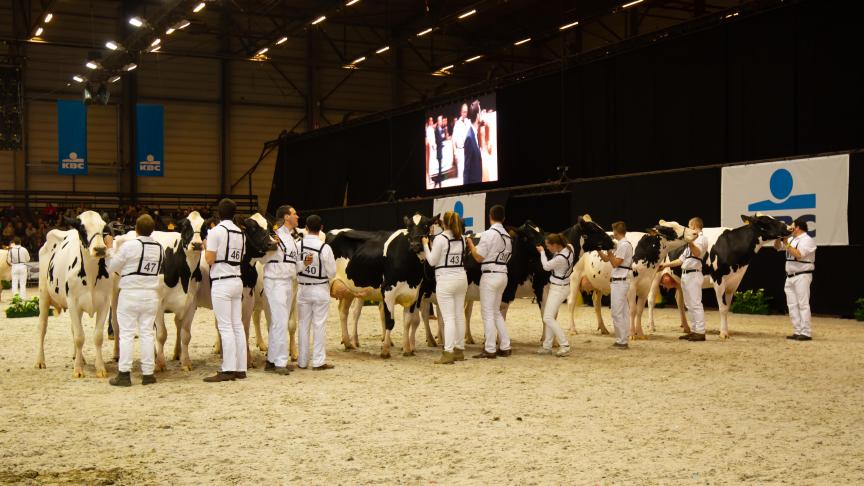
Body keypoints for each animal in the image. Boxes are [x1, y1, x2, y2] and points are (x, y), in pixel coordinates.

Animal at [35, 211, 114, 378]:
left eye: (104, 229)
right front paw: (78, 369)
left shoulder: (104, 303)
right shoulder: (73, 302)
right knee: (42, 328)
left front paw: (100, 368)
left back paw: (80, 357)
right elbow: (79, 337)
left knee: (72, 328)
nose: (100, 249)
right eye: (82, 229)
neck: (90, 275)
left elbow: (97, 336)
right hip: (43, 295)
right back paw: (40, 361)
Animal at [330, 215, 438, 358]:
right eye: (409, 227)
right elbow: (390, 321)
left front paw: (407, 349)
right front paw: (385, 350)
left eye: (426, 226)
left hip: (349, 289)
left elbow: (408, 321)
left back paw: (348, 343)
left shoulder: (414, 294)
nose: (415, 245)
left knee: (343, 312)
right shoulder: (387, 291)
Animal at [568, 220, 696, 338]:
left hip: (597, 283)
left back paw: (603, 328)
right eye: (670, 229)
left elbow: (639, 310)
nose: (694, 233)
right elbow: (633, 310)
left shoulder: (646, 285)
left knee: (596, 303)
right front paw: (631, 334)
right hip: (574, 278)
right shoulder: (631, 286)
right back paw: (573, 329)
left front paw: (640, 333)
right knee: (571, 302)